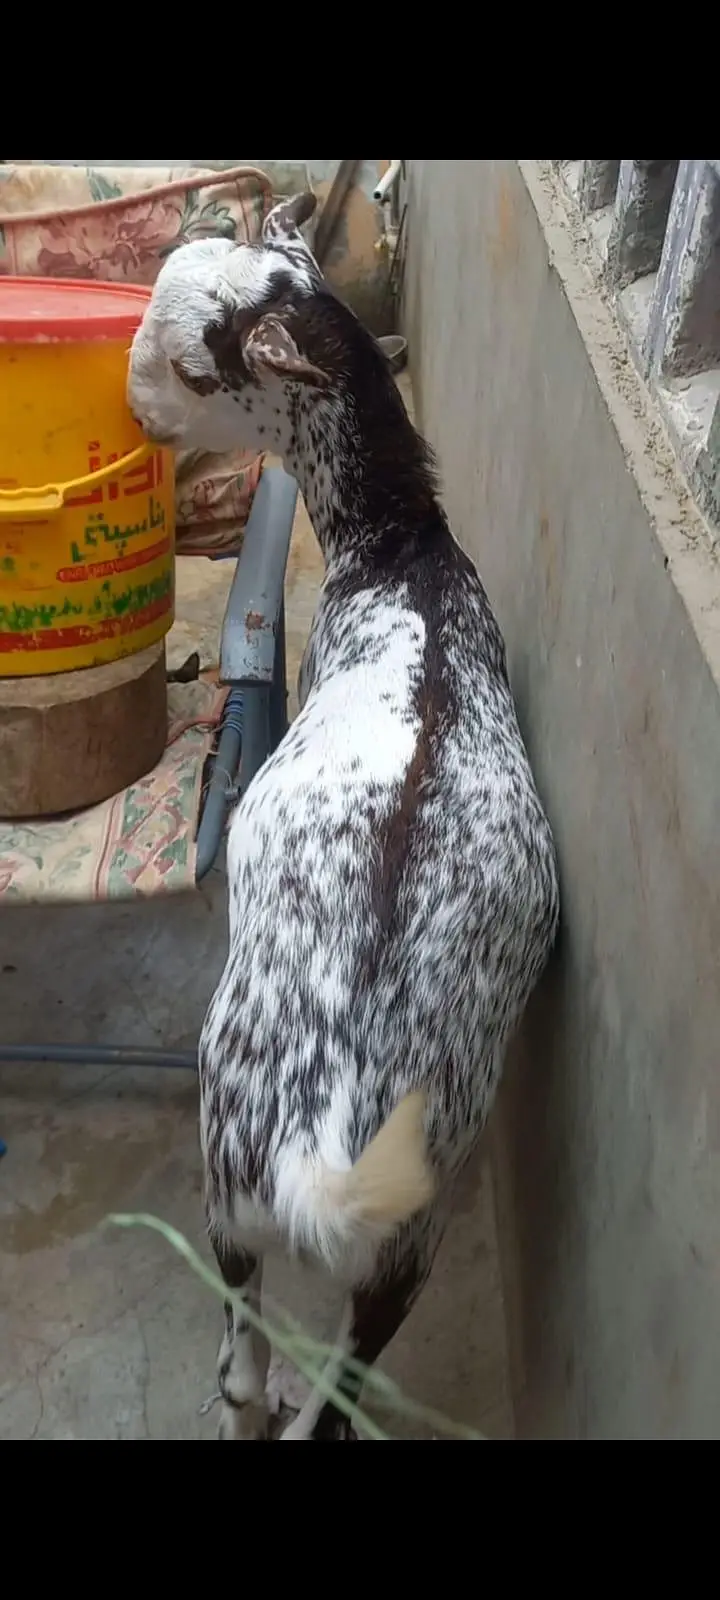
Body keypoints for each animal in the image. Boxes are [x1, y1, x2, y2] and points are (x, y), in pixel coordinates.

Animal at [128, 192, 560, 1440]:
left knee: (246, 1358)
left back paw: (240, 1397)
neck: (402, 556)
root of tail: (321, 1147)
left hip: (227, 1162)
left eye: (195, 367)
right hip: (410, 1231)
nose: (137, 409)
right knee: (339, 1388)